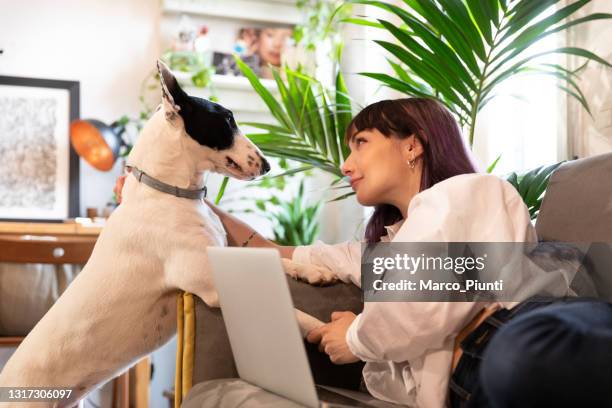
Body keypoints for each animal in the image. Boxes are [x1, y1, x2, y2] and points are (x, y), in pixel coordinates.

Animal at [0, 61, 334, 408]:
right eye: (227, 120)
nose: (268, 165)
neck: (170, 192)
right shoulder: (210, 283)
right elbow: (295, 313)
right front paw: (325, 328)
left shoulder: (227, 253)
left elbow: (278, 260)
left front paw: (314, 270)